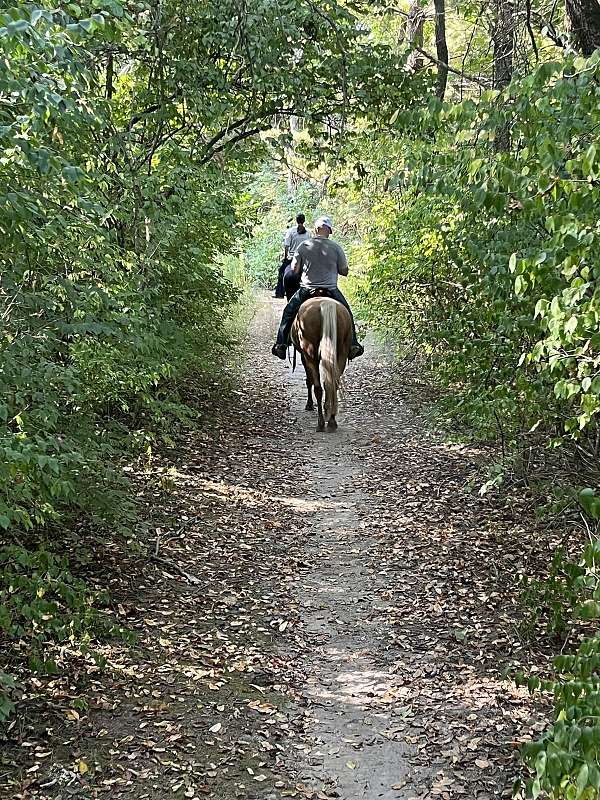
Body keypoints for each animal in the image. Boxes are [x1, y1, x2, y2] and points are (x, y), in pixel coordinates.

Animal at [290, 296, 352, 432]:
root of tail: (325, 303)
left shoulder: (304, 356)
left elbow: (309, 381)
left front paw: (309, 405)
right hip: (341, 353)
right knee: (333, 384)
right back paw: (332, 421)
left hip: (310, 354)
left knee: (318, 388)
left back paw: (321, 423)